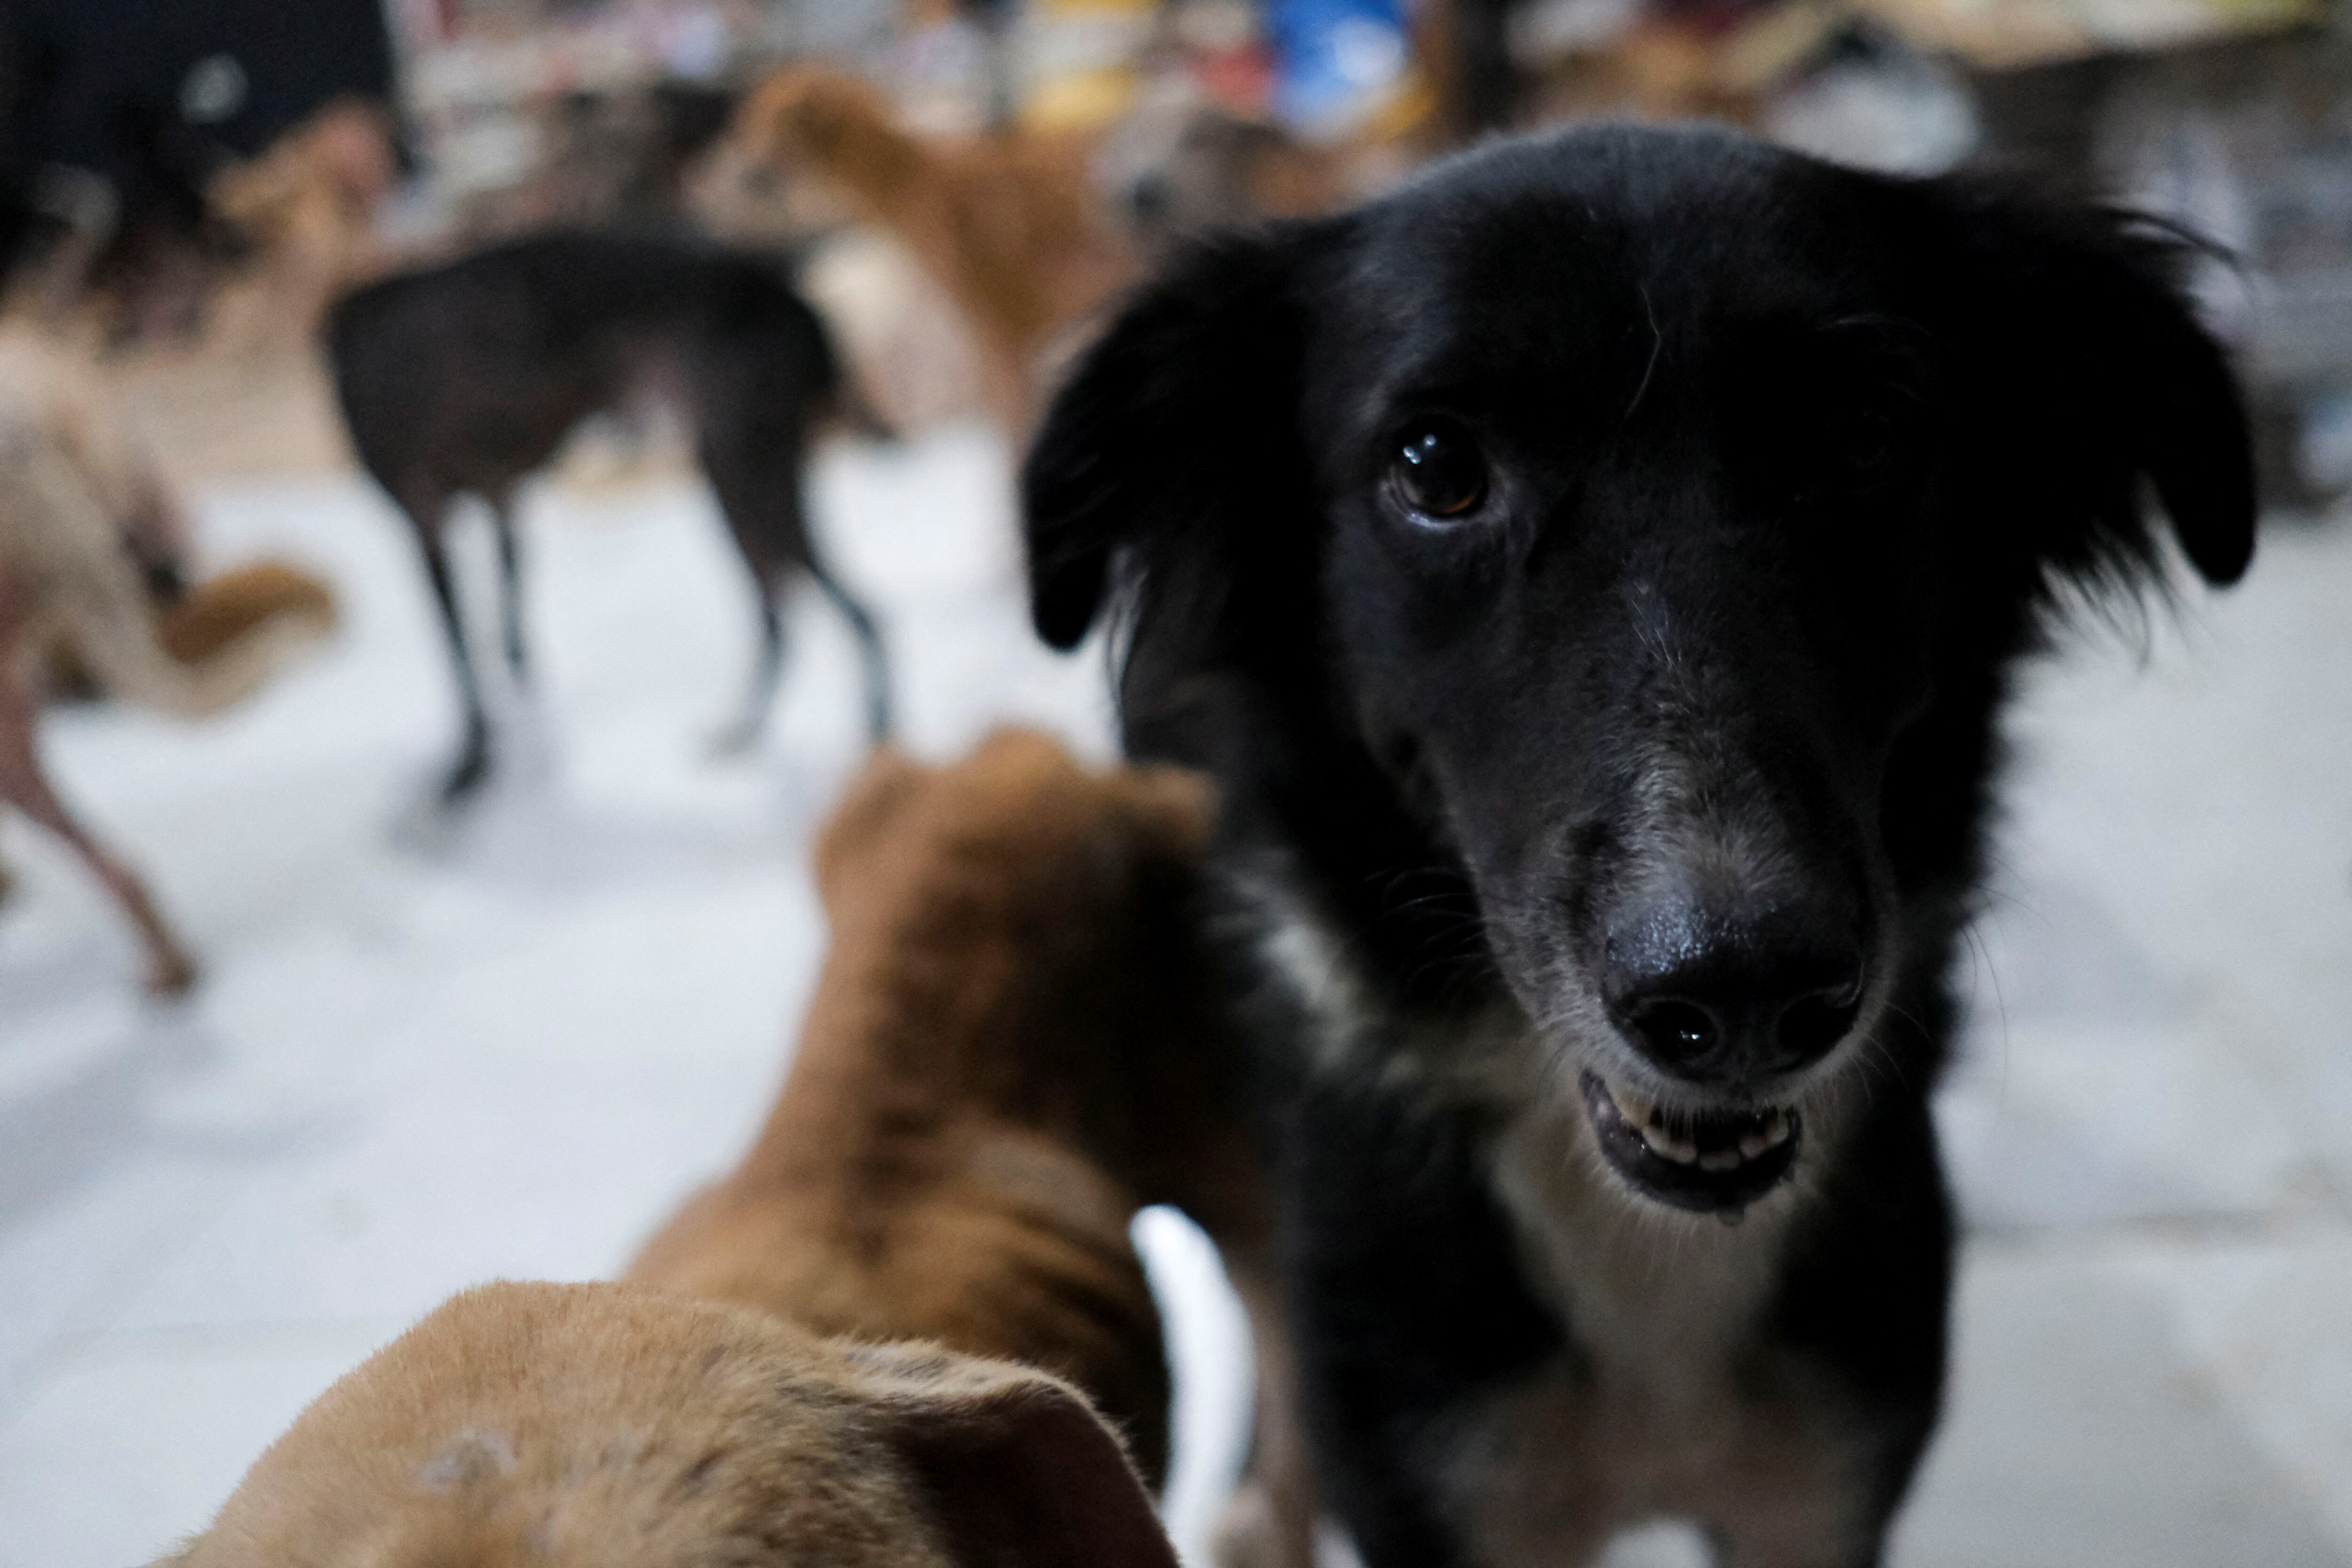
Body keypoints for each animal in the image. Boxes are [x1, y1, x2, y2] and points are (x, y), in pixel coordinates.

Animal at [327, 232, 884, 808]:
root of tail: (802, 312)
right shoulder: (502, 500)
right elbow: (510, 614)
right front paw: (518, 692)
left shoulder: (424, 520)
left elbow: (459, 658)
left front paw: (469, 768)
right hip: (746, 472)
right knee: (788, 610)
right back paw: (754, 735)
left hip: (740, 468)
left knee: (854, 612)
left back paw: (871, 760)